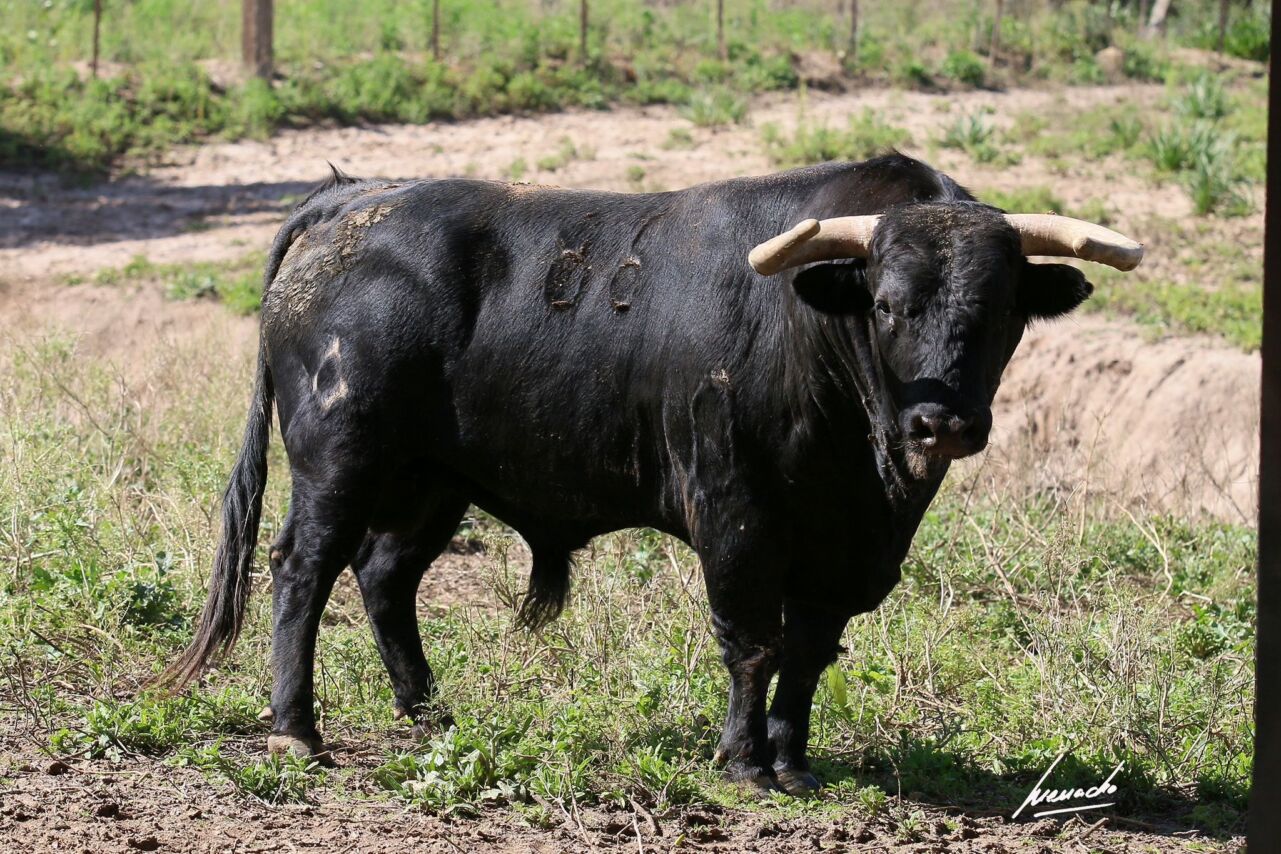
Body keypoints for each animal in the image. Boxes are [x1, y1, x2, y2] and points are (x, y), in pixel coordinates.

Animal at [162, 153, 1111, 793]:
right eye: (886, 303)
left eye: (1002, 311)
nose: (939, 422)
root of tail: (353, 197)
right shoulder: (734, 516)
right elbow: (752, 641)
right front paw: (743, 761)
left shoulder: (845, 553)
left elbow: (808, 652)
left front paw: (794, 760)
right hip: (338, 458)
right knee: (303, 567)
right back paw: (296, 729)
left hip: (434, 482)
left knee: (384, 576)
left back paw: (431, 713)